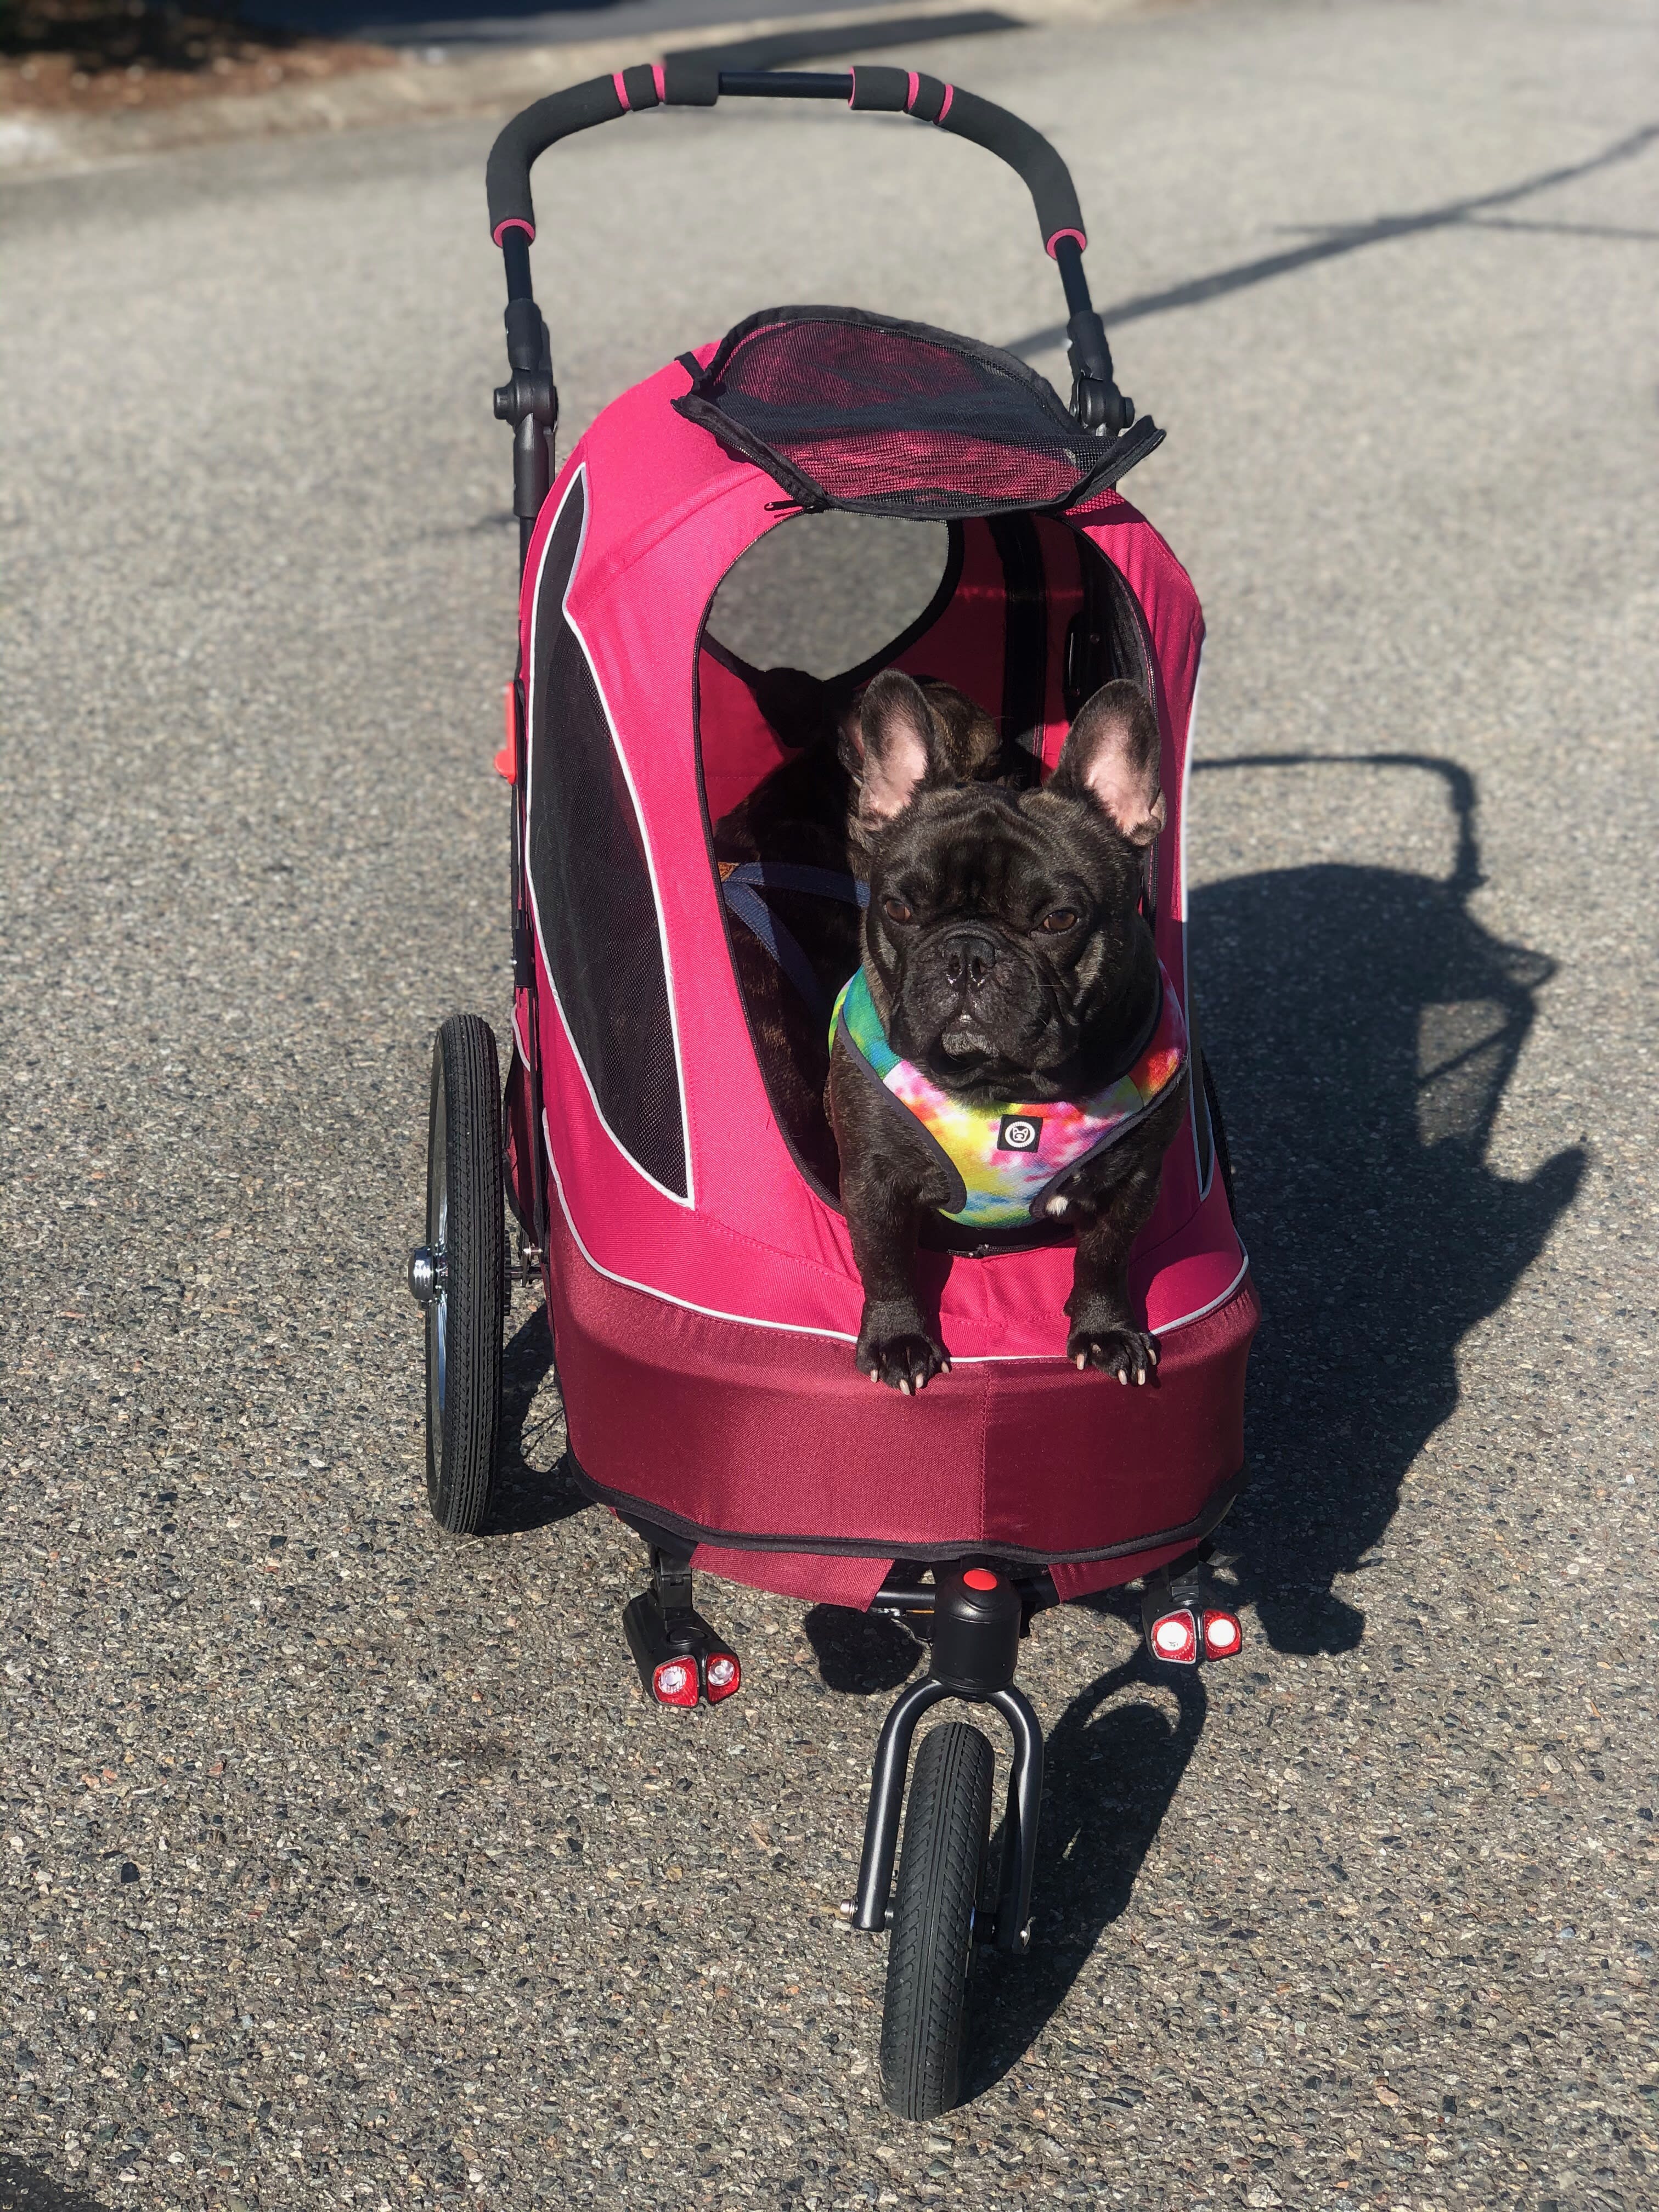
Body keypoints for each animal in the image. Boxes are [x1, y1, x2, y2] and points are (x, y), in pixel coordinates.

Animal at [827, 663, 1186, 1389]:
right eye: (899, 909)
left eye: (1058, 920)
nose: (968, 955)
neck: (1001, 1088)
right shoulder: (871, 1179)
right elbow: (884, 1262)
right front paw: (898, 1340)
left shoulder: (1135, 1180)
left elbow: (1106, 1257)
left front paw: (1105, 1330)